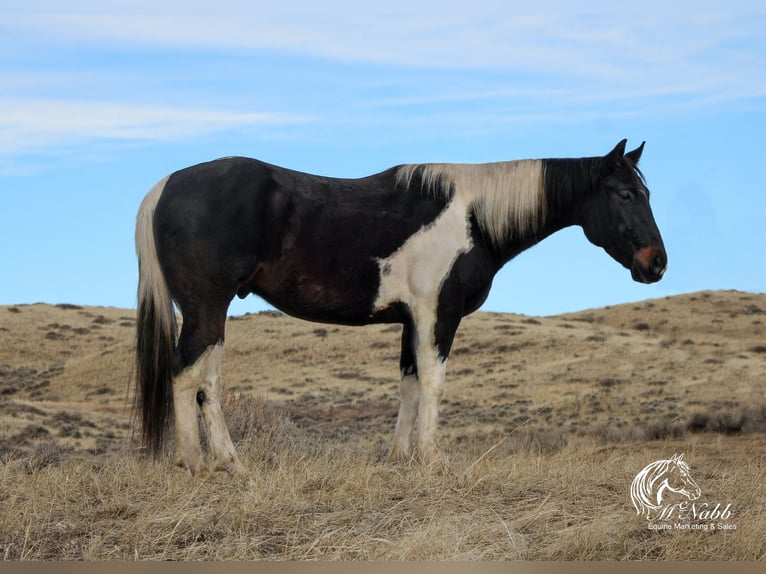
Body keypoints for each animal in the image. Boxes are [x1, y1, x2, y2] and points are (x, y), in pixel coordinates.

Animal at [135, 141, 668, 476]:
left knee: (205, 381)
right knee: (186, 375)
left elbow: (409, 382)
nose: (656, 263)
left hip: (212, 314)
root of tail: (163, 187)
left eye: (647, 193)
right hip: (206, 308)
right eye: (625, 194)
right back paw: (198, 464)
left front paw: (400, 459)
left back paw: (227, 464)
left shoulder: (411, 318)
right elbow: (433, 381)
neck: (474, 217)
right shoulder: (437, 314)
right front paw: (432, 460)